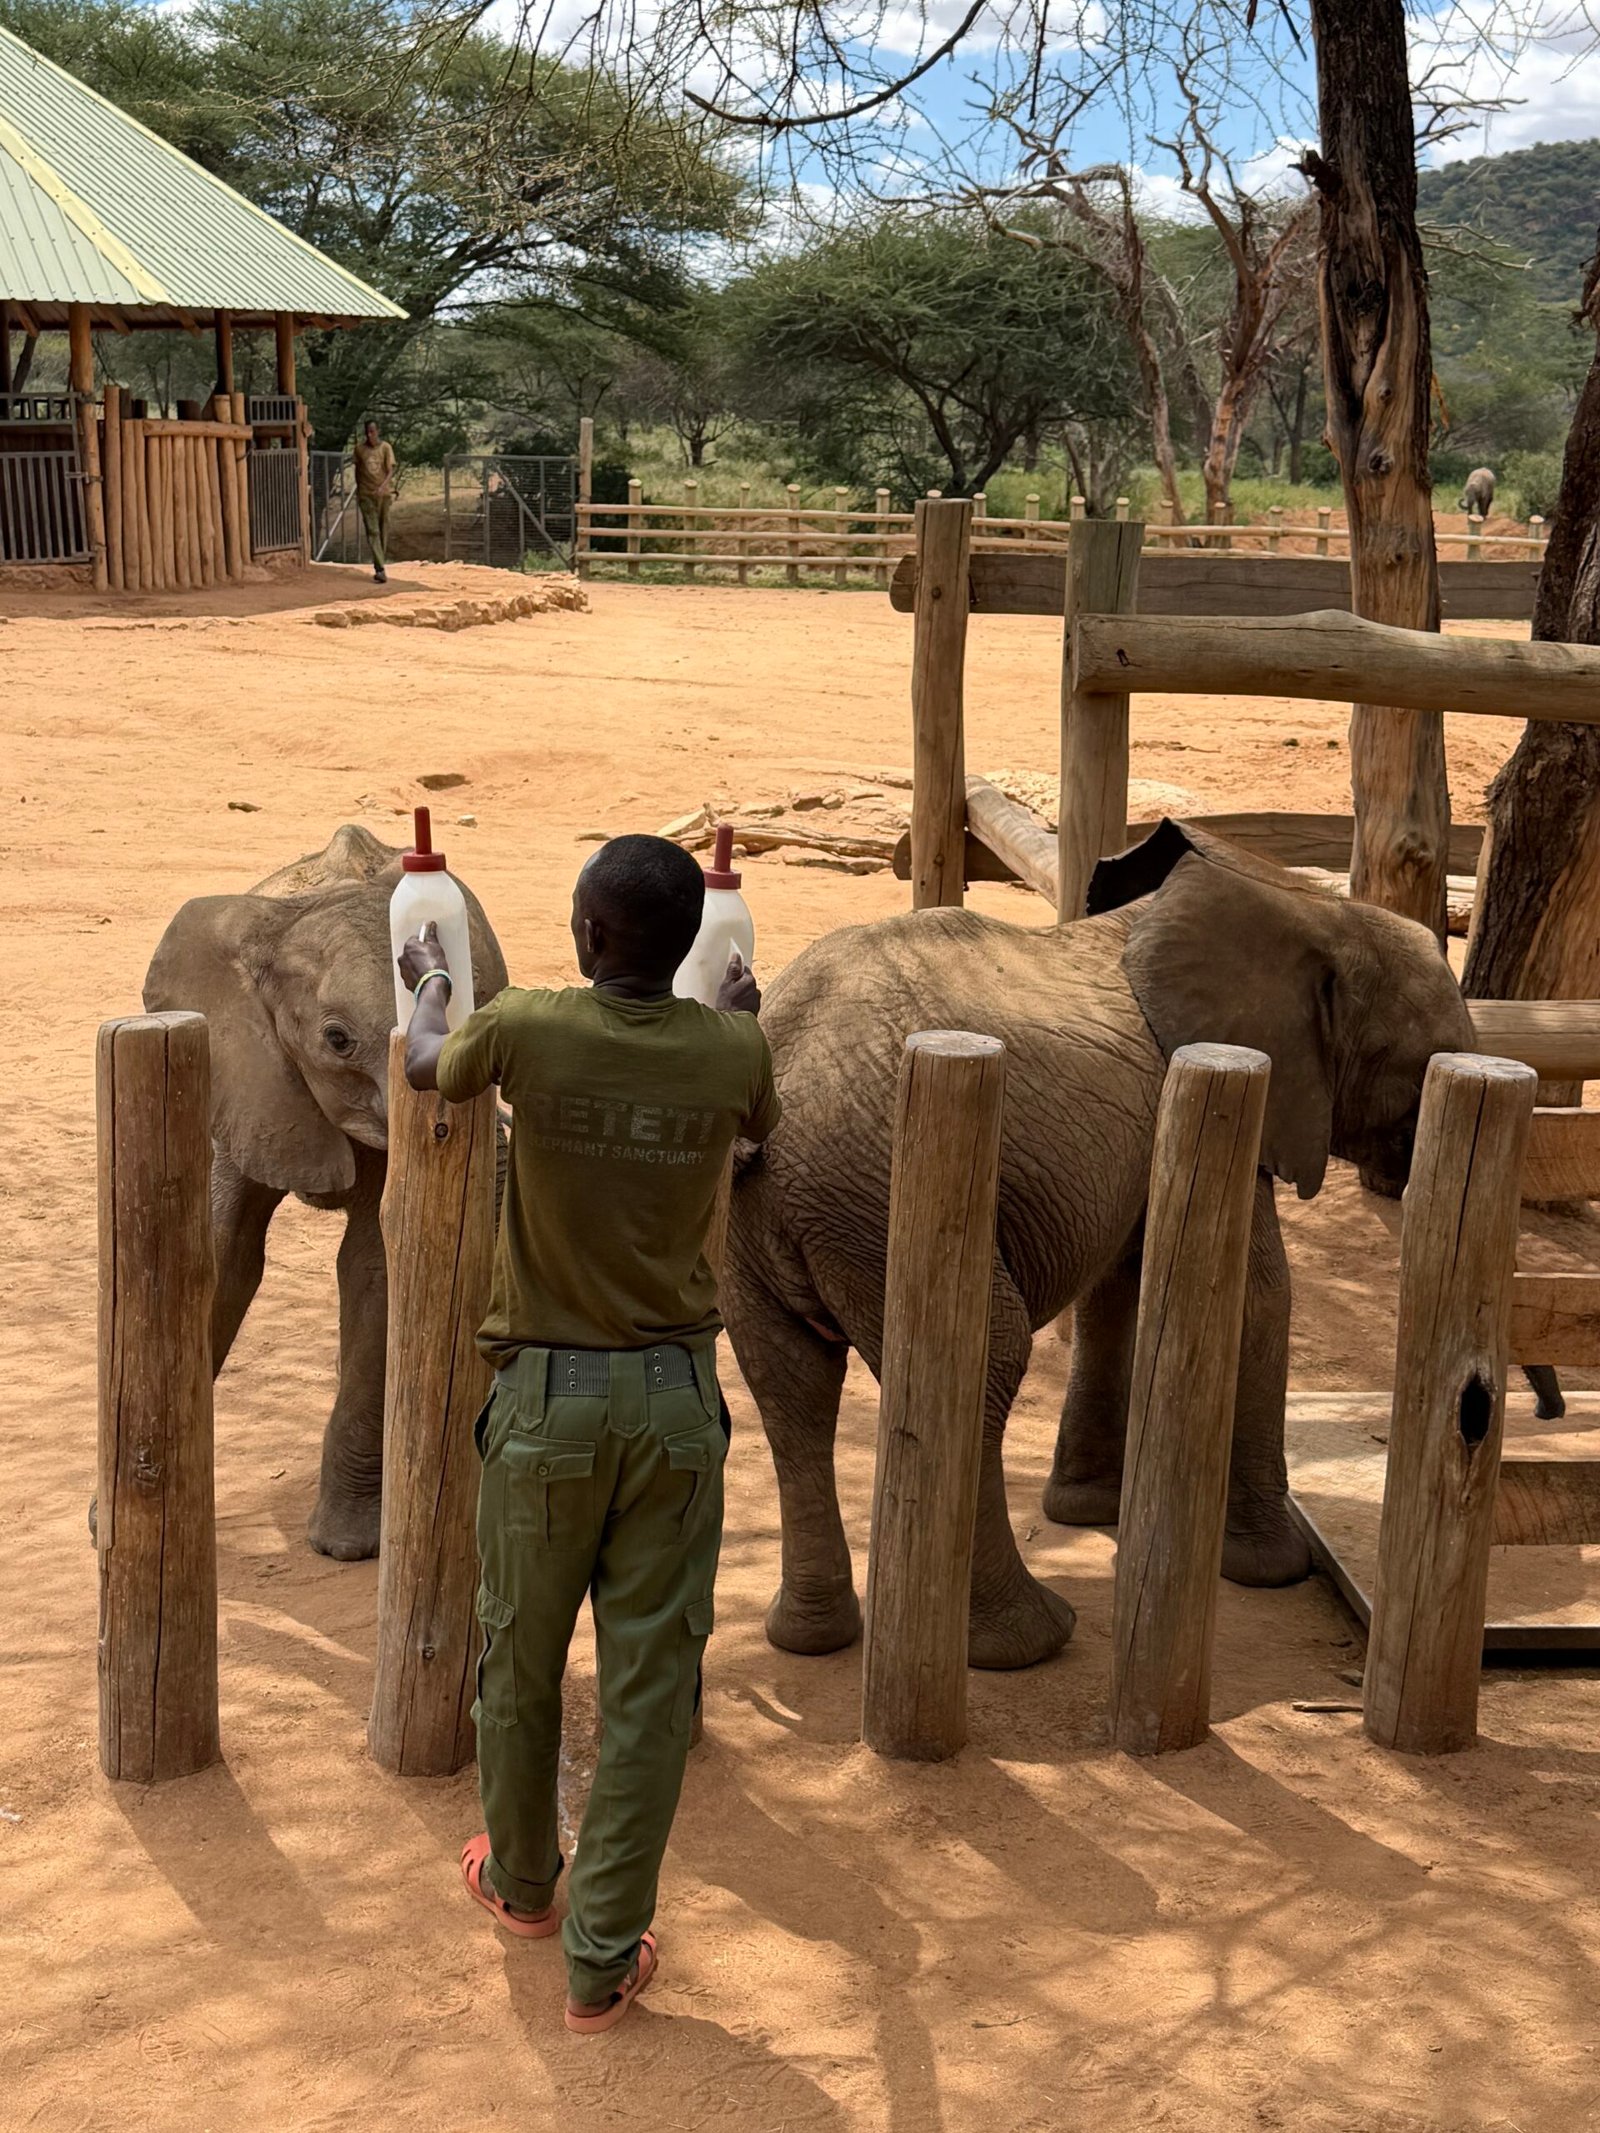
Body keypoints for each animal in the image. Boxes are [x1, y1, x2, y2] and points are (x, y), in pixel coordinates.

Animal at [719, 819, 1477, 1672]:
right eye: (1430, 1064)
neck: (1311, 908)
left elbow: (1119, 1285)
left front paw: (1086, 1509)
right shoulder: (1238, 1085)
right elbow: (1258, 1298)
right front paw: (1276, 1570)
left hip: (766, 1224)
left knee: (790, 1383)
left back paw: (813, 1639)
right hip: (873, 1191)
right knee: (986, 1353)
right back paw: (1029, 1642)